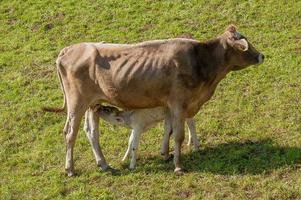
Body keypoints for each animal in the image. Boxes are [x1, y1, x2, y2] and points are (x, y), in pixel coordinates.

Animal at [44, 25, 262, 177]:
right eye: (245, 45)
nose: (262, 55)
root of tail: (70, 49)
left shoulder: (173, 105)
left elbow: (169, 130)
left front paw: (165, 154)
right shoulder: (179, 103)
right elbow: (178, 135)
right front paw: (178, 166)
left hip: (93, 103)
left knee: (91, 132)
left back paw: (104, 164)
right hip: (76, 102)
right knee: (70, 133)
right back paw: (70, 169)